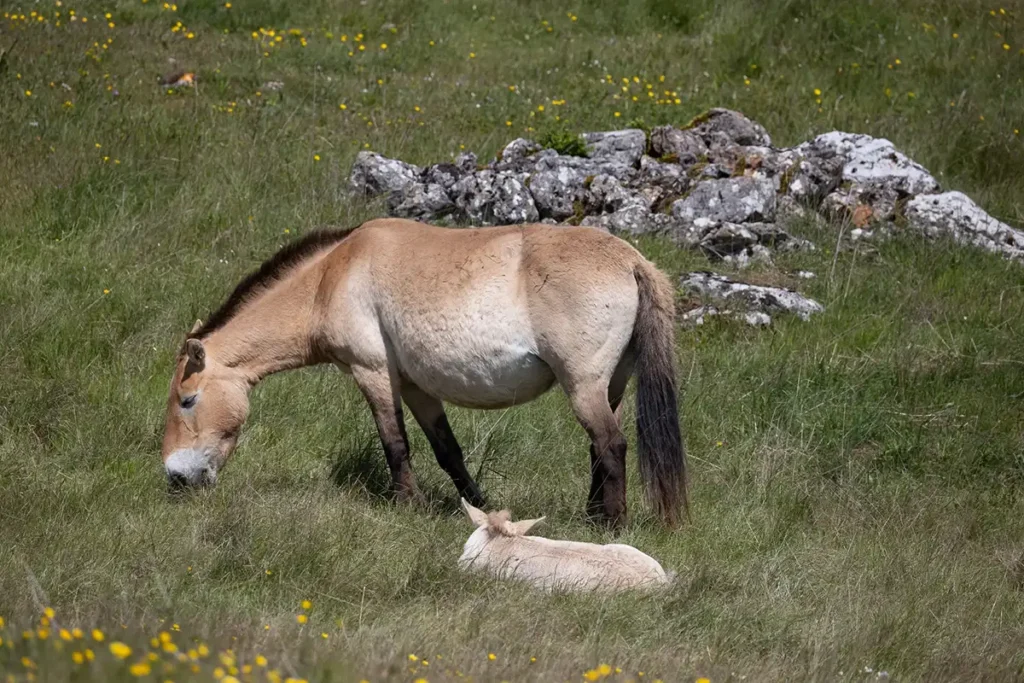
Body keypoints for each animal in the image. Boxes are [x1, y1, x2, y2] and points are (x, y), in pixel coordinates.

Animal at [160, 218, 686, 526]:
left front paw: (407, 506)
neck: (331, 275)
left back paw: (610, 525)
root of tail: (632, 261)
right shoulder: (416, 387)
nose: (176, 477)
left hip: (584, 385)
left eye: (188, 401)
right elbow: (447, 451)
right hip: (610, 384)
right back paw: (592, 514)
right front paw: (478, 508)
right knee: (599, 448)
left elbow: (395, 444)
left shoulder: (372, 372)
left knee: (611, 445)